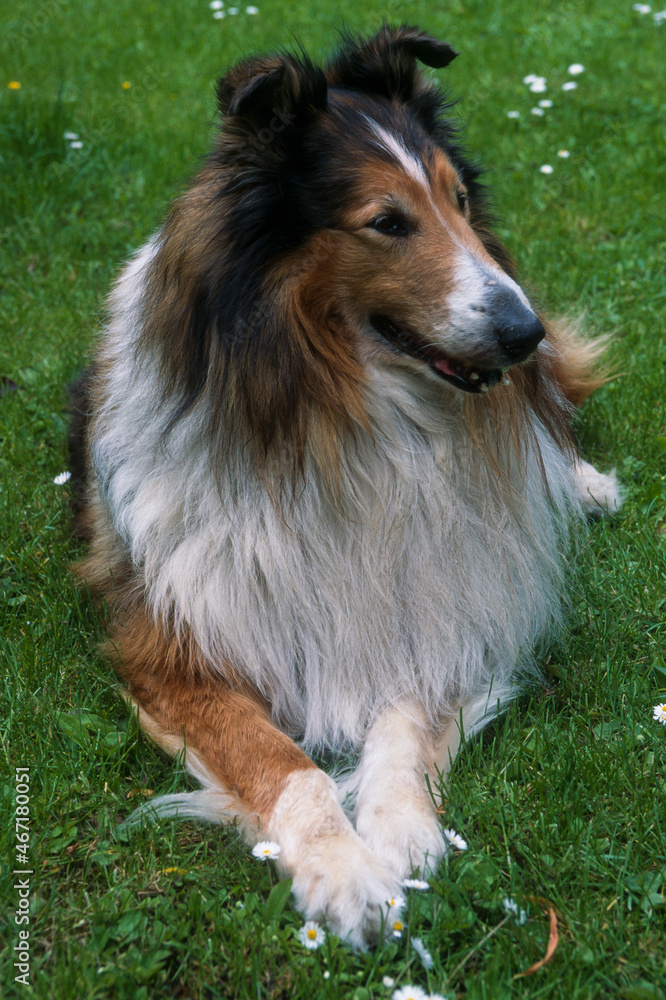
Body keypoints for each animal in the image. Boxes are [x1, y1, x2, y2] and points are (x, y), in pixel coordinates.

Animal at [70, 23, 620, 944]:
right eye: (386, 222)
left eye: (459, 201)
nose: (526, 331)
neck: (340, 424)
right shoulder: (175, 650)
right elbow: (284, 761)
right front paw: (343, 870)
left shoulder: (436, 595)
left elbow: (401, 722)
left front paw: (402, 833)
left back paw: (582, 484)